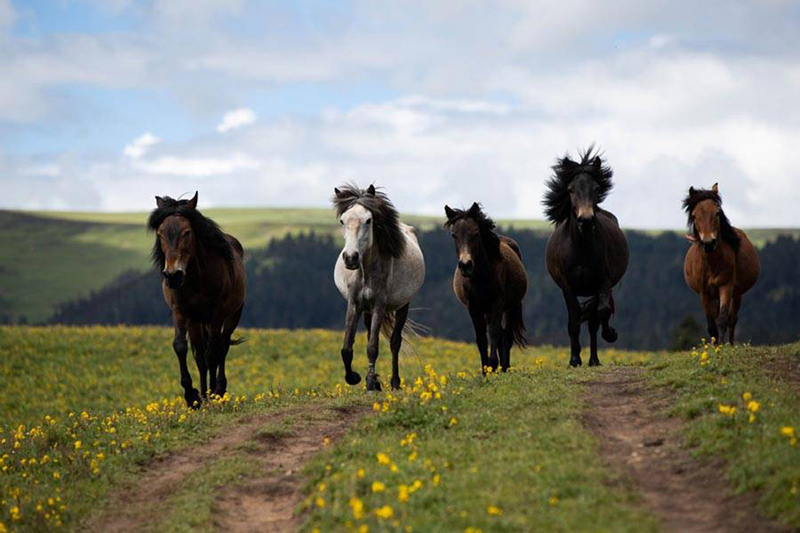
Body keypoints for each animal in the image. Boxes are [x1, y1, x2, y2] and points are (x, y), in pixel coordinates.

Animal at [147, 193, 245, 406]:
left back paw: (218, 390)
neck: (198, 278)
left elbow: (213, 354)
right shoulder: (182, 312)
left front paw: (213, 394)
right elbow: (181, 347)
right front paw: (193, 396)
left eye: (187, 232)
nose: (173, 275)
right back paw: (204, 394)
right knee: (201, 355)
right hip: (197, 322)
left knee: (221, 347)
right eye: (160, 234)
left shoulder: (217, 314)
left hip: (232, 314)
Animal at [332, 184, 424, 390]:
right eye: (342, 220)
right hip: (367, 310)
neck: (366, 272)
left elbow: (373, 347)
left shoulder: (380, 305)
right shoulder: (354, 304)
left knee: (394, 342)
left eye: (368, 220)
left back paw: (394, 382)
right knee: (369, 334)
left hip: (401, 306)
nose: (350, 258)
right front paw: (355, 378)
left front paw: (368, 385)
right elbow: (346, 348)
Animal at [440, 202, 528, 372]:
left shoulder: (497, 303)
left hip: (511, 306)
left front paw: (492, 365)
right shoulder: (474, 307)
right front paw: (485, 370)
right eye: (454, 234)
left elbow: (493, 333)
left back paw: (505, 368)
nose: (466, 265)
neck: (481, 277)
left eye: (475, 232)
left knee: (506, 336)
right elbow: (481, 338)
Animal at [544, 149, 632, 366]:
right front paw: (574, 359)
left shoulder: (603, 282)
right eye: (570, 189)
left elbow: (603, 312)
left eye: (596, 188)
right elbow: (574, 323)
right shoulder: (568, 287)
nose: (585, 220)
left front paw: (611, 334)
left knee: (593, 322)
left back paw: (594, 359)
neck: (581, 247)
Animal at [684, 183, 760, 342]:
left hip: (737, 293)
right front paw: (715, 344)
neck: (712, 264)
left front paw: (722, 345)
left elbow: (722, 319)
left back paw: (730, 343)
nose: (708, 243)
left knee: (733, 319)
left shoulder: (726, 286)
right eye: (694, 216)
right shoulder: (704, 293)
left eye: (717, 213)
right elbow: (711, 324)